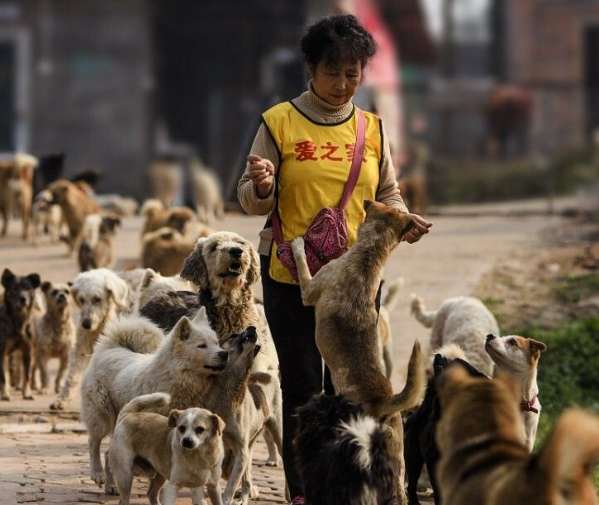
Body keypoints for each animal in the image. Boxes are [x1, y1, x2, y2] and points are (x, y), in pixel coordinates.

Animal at [49, 268, 129, 410]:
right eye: (81, 300)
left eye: (97, 299)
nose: (86, 324)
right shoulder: (81, 343)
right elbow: (72, 375)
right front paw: (61, 400)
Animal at [81, 310, 229, 490]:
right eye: (202, 345)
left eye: (216, 343)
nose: (224, 354)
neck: (178, 377)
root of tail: (110, 348)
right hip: (102, 415)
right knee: (93, 442)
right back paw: (98, 473)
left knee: (109, 453)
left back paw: (112, 486)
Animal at [404, 342, 492, 504]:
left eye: (455, 363)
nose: (439, 355)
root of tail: (422, 410)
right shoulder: (434, 462)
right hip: (413, 456)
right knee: (411, 485)